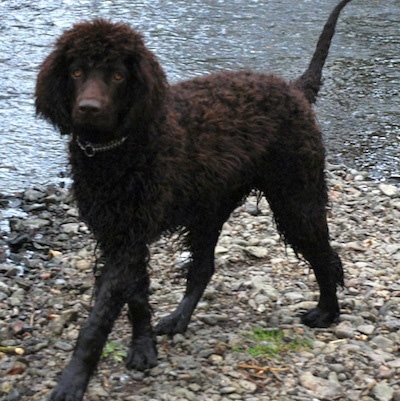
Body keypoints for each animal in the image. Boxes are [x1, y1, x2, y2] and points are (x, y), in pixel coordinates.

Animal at [36, 1, 352, 398]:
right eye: (77, 71)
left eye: (118, 76)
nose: (89, 108)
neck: (118, 150)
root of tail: (294, 89)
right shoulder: (119, 234)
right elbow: (137, 297)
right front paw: (144, 349)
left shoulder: (126, 240)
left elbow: (98, 320)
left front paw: (73, 380)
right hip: (209, 210)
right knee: (203, 269)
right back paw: (179, 318)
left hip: (296, 198)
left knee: (326, 258)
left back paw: (327, 311)